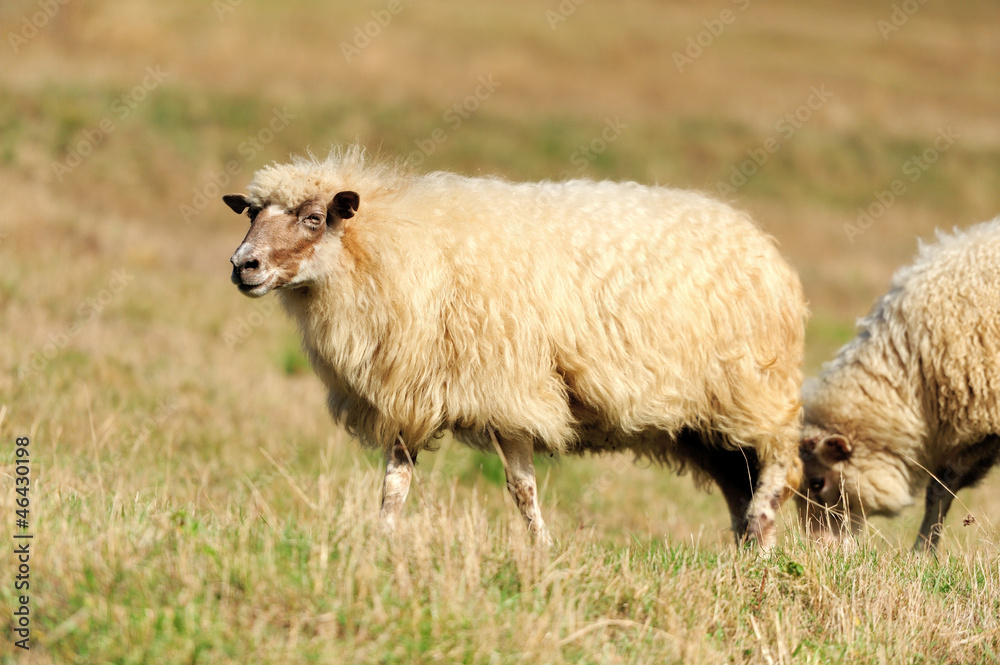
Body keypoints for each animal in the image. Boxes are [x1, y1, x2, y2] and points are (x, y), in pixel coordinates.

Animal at [221, 144, 804, 544]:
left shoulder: (510, 390)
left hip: (755, 387)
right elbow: (395, 482)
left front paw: (542, 549)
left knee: (779, 464)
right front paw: (381, 541)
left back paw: (763, 542)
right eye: (251, 214)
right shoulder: (412, 389)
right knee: (741, 480)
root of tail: (760, 242)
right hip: (704, 424)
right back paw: (747, 550)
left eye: (314, 218)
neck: (389, 248)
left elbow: (522, 488)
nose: (242, 266)